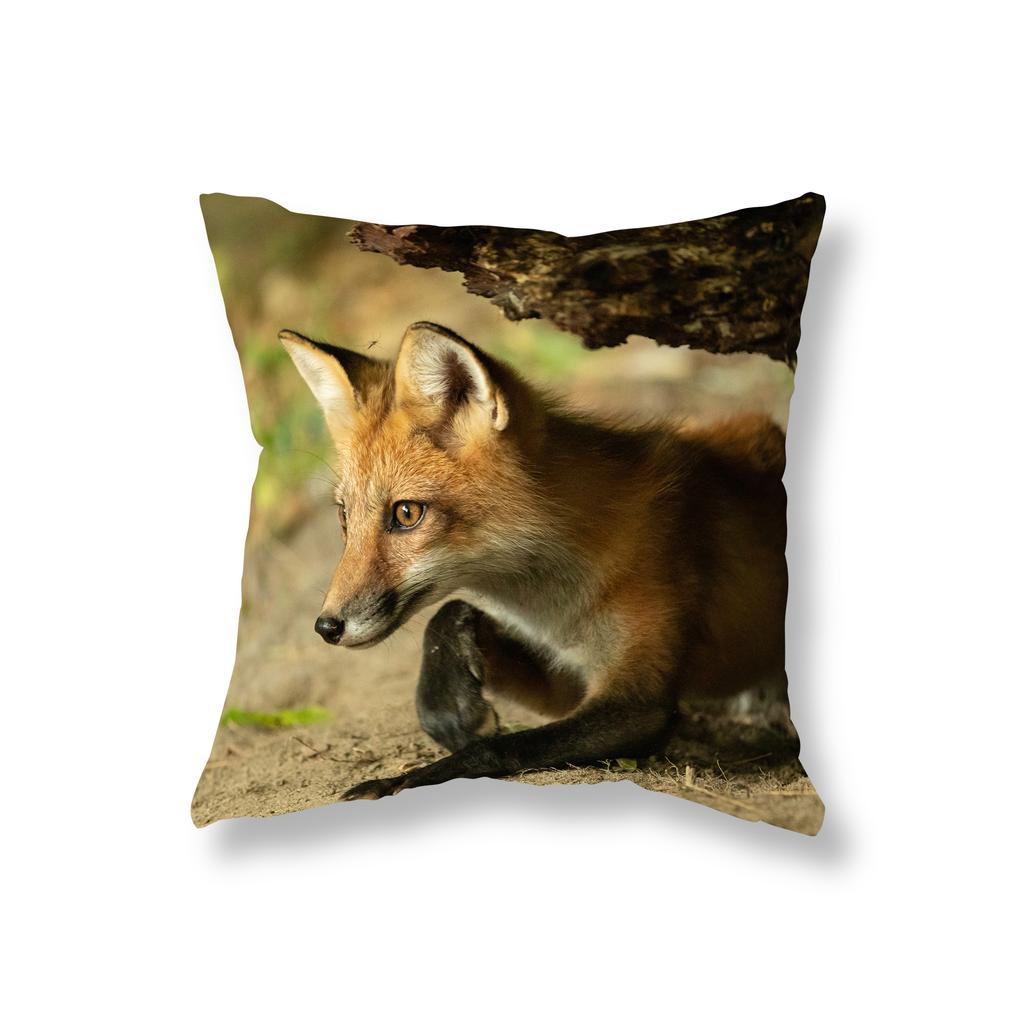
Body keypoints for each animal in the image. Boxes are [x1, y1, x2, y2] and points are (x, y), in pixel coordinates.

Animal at [280, 321, 790, 800]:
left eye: (406, 513)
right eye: (344, 516)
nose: (327, 627)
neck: (559, 608)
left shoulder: (639, 701)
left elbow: (499, 747)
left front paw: (405, 778)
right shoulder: (567, 681)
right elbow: (447, 616)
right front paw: (448, 710)